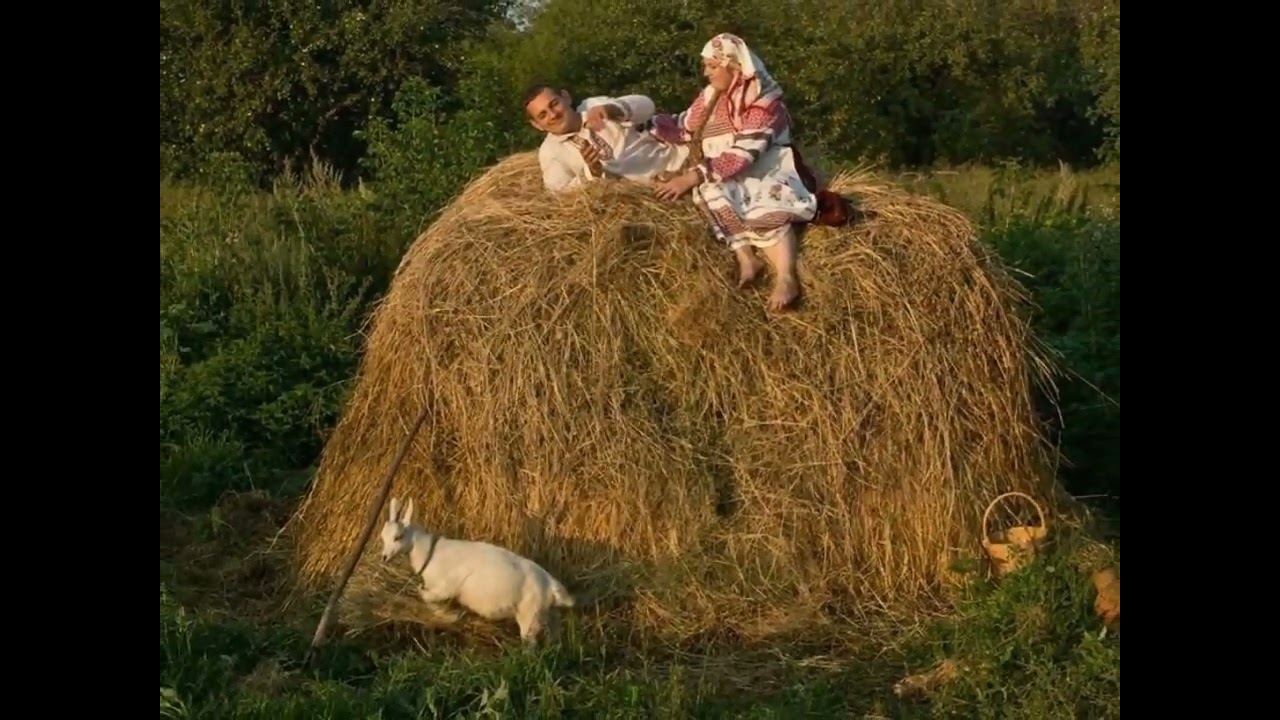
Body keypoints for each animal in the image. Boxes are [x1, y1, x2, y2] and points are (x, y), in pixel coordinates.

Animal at [373, 491, 576, 645]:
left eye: (398, 537)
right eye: (383, 536)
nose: (384, 557)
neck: (429, 553)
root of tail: (551, 585)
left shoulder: (447, 587)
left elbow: (424, 595)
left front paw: (451, 616)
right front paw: (448, 616)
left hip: (529, 617)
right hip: (547, 613)